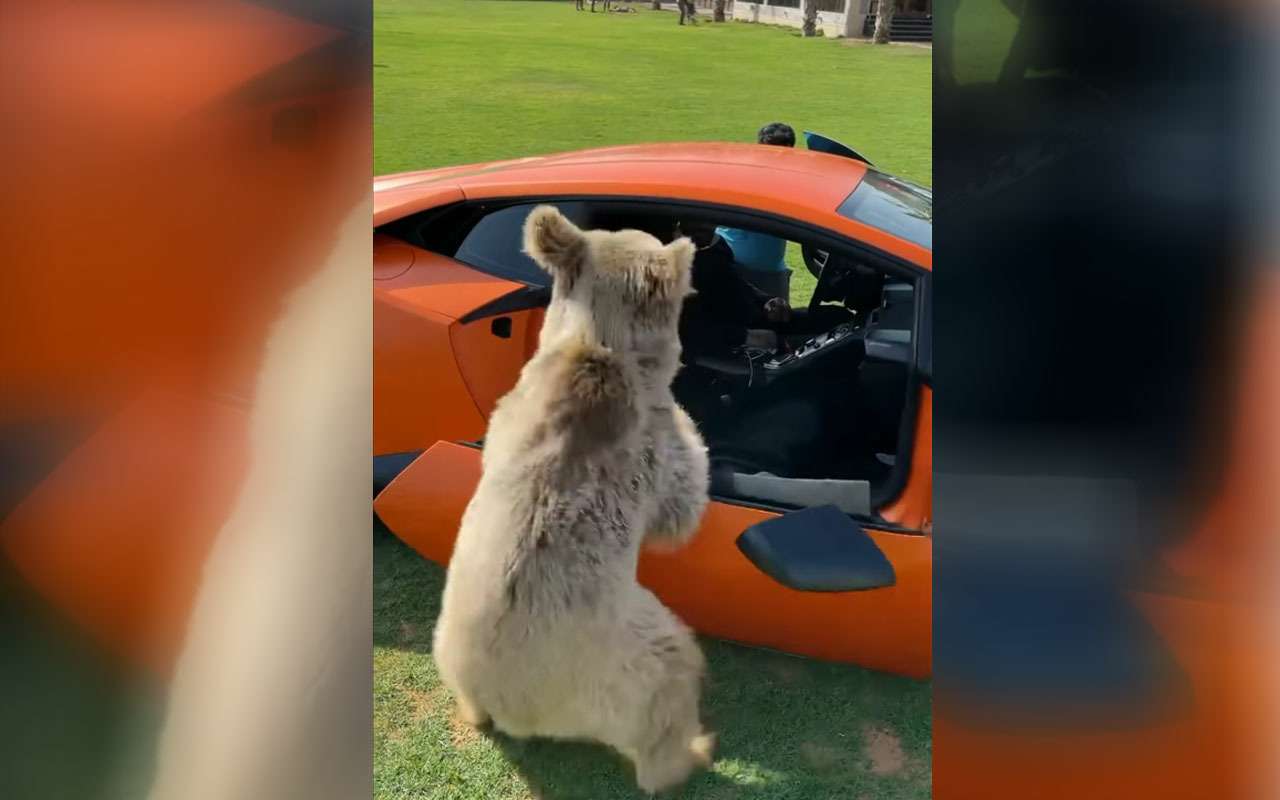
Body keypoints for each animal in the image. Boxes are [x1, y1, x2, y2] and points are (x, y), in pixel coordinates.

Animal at [432, 205, 714, 793]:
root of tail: (512, 707)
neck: (597, 341)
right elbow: (681, 502)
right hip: (629, 660)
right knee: (668, 688)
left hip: (444, 644)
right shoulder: (648, 442)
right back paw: (692, 751)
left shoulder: (510, 408)